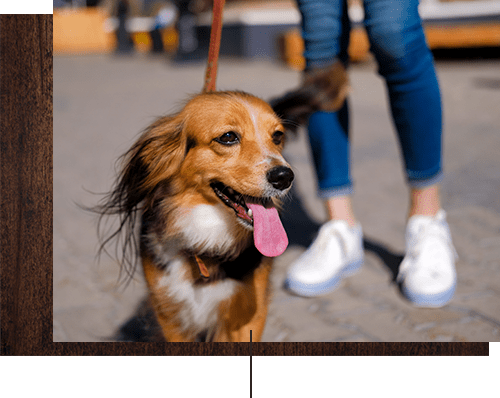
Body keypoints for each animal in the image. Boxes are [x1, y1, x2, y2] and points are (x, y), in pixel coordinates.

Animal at [94, 91, 292, 342]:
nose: (285, 177)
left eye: (277, 136)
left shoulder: (248, 314)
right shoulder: (170, 314)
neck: (207, 236)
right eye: (228, 137)